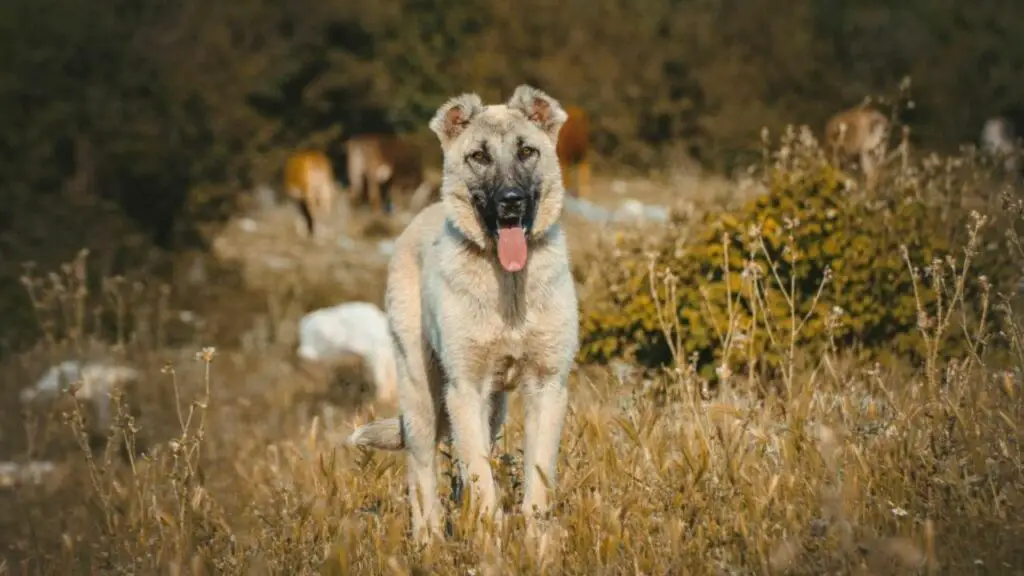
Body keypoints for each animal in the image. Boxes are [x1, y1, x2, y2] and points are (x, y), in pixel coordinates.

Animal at [348, 83, 581, 541]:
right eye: (479, 156)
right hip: (421, 394)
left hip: (493, 409)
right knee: (423, 476)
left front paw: (537, 545)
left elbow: (537, 484)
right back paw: (430, 542)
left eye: (526, 151)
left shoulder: (546, 386)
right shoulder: (465, 388)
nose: (511, 202)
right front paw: (491, 544)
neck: (509, 286)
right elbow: (481, 481)